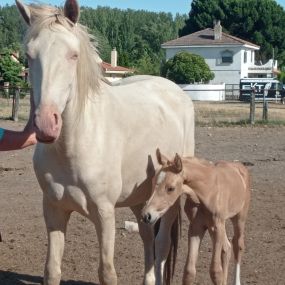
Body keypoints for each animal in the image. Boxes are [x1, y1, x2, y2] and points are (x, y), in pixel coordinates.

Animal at [15, 0, 193, 284]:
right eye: (29, 55)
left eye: (73, 55)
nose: (45, 124)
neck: (76, 143)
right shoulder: (54, 210)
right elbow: (52, 270)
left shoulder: (105, 213)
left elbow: (107, 272)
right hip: (141, 199)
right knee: (147, 239)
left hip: (170, 200)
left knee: (162, 243)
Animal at [141, 150, 248, 282]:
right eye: (152, 182)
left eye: (170, 188)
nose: (146, 215)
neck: (208, 191)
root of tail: (239, 166)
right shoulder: (196, 227)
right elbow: (189, 272)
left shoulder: (217, 226)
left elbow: (215, 271)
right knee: (226, 248)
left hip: (239, 219)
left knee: (238, 245)